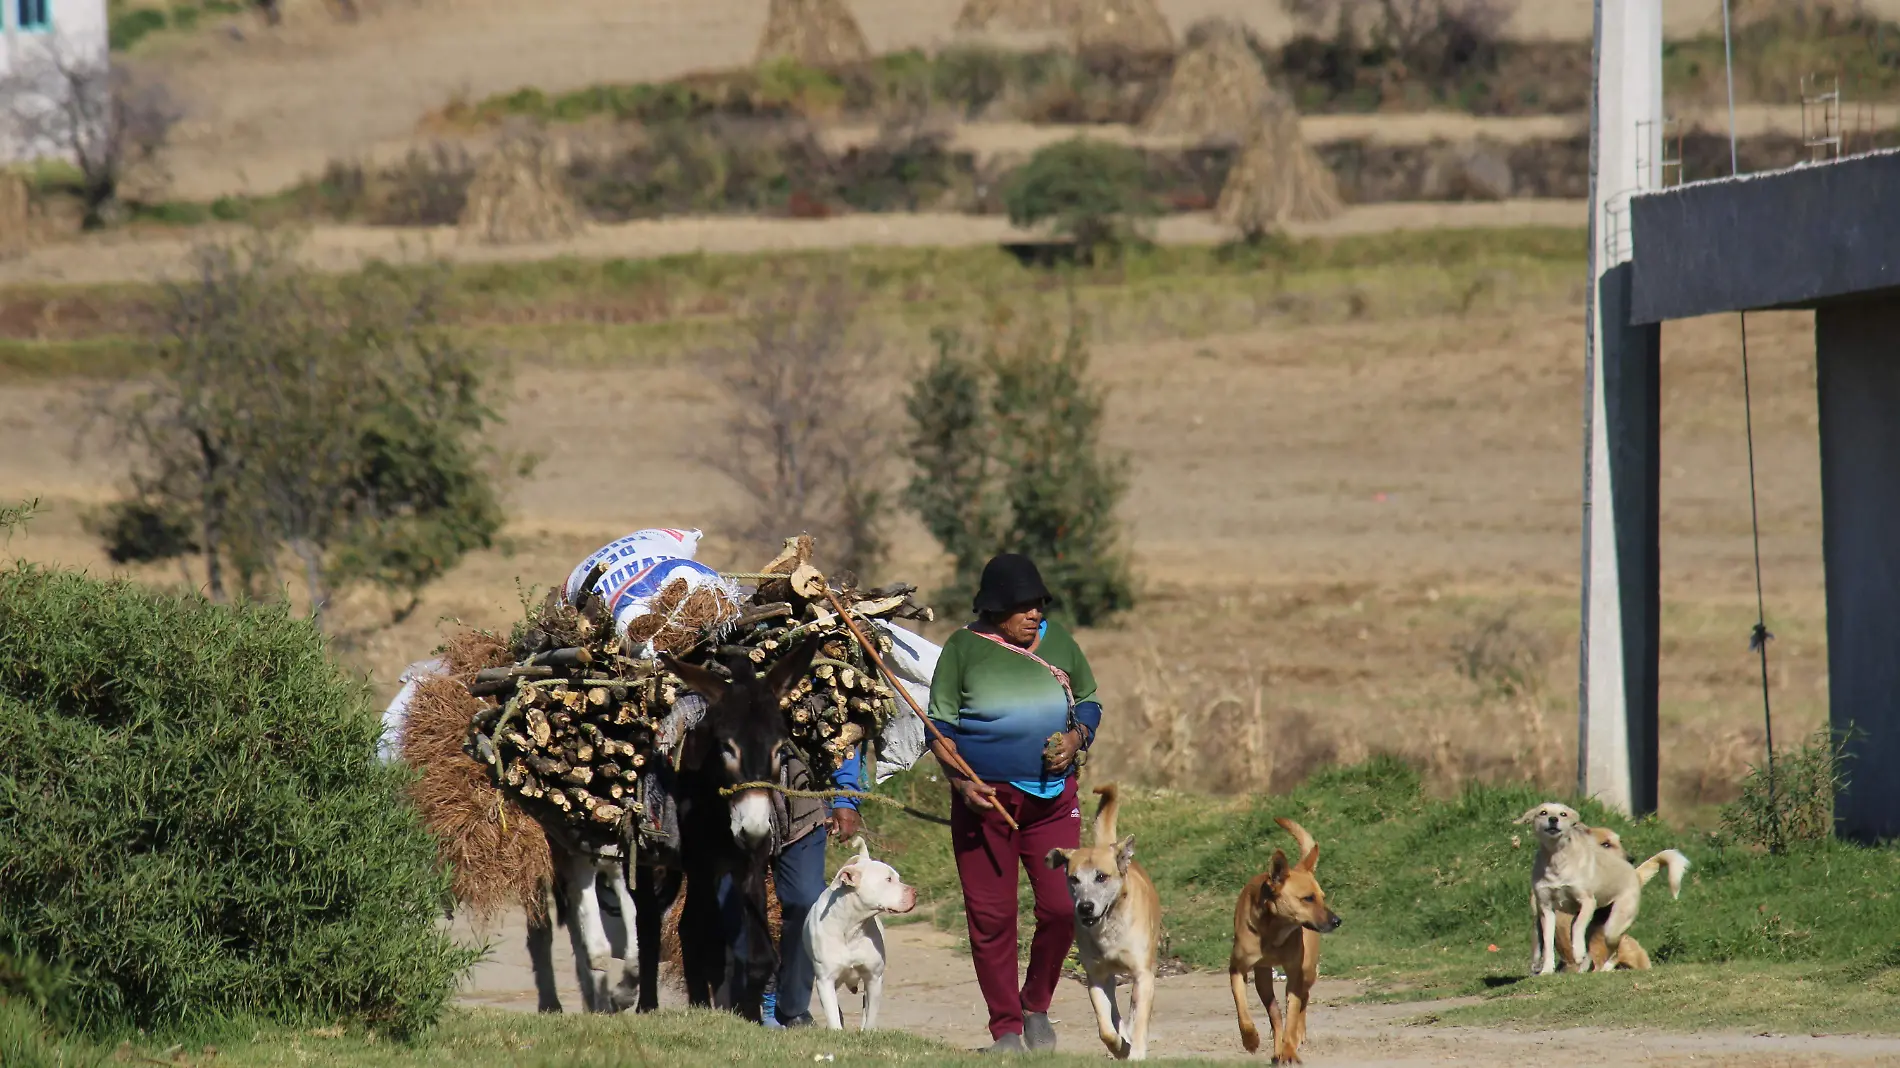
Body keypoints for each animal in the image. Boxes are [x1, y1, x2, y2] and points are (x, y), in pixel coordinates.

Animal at [805, 832, 915, 1026]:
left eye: (897, 878)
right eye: (888, 879)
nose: (914, 892)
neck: (851, 927)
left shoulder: (874, 978)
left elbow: (870, 1016)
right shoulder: (825, 981)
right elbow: (833, 1016)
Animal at [1048, 779, 1162, 1056]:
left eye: (1101, 877)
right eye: (1074, 879)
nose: (1085, 907)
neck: (1109, 927)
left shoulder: (1143, 975)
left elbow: (1139, 1019)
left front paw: (1136, 1053)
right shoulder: (1096, 976)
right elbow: (1105, 1026)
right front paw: (1119, 1046)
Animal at [1223, 813, 1345, 1056]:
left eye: (1322, 897)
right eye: (1308, 898)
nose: (1337, 921)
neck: (1274, 932)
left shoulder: (1296, 974)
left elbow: (1293, 1012)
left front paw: (1290, 1045)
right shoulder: (1237, 969)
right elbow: (1242, 1007)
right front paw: (1250, 1039)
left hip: (1307, 971)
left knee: (1302, 1001)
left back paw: (1296, 1037)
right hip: (1263, 978)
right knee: (1275, 1013)